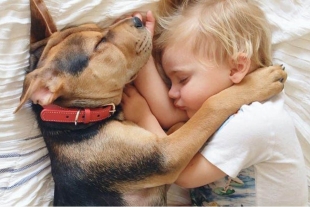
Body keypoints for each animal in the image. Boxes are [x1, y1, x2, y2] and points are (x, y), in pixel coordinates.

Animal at [13, 0, 286, 205]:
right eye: (100, 44)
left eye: (98, 29)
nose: (137, 20)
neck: (77, 119)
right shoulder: (167, 155)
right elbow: (211, 106)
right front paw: (258, 82)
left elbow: (179, 122)